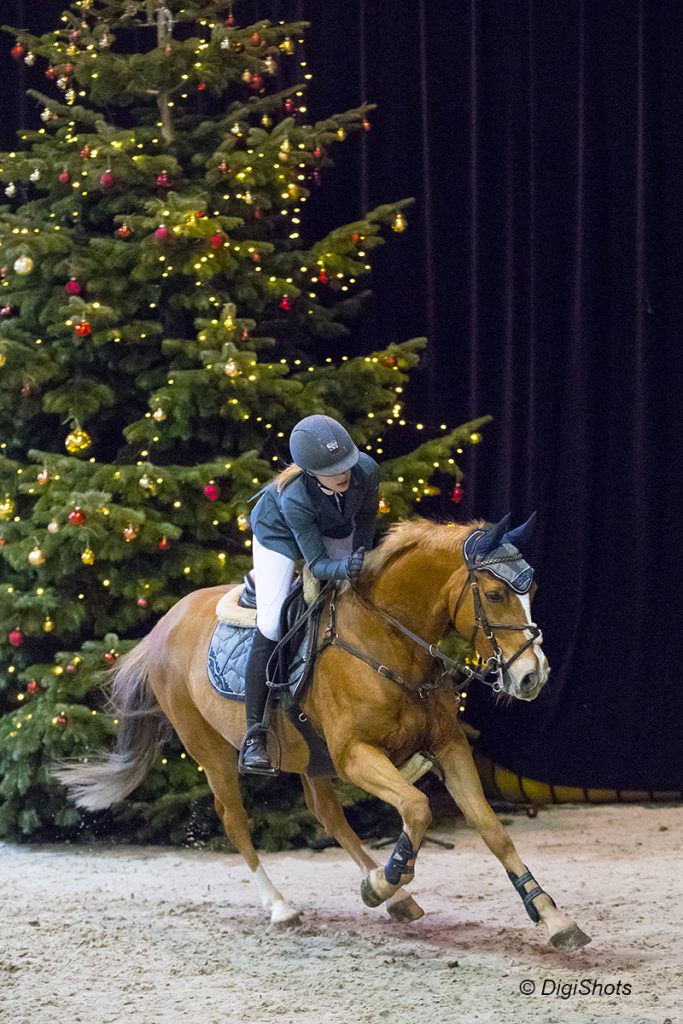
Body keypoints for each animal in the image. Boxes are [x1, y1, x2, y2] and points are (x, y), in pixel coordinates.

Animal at [56, 512, 593, 950]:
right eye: (497, 594)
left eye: (532, 592)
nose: (533, 677)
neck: (390, 641)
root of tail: (162, 625)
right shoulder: (355, 753)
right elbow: (417, 807)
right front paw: (387, 879)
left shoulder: (447, 746)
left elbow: (489, 828)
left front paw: (553, 918)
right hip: (211, 751)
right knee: (236, 820)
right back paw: (284, 906)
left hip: (308, 755)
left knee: (326, 814)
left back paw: (394, 897)